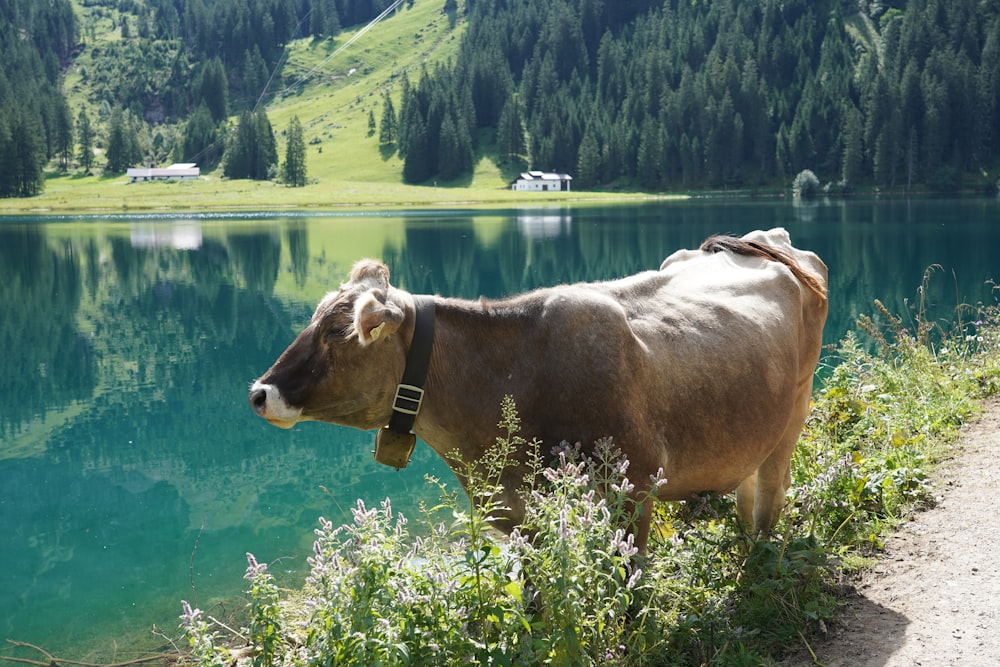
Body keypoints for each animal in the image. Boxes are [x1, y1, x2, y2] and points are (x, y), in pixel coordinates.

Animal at [246, 227, 824, 552]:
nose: (258, 393)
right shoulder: (515, 514)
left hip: (795, 410)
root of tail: (765, 240)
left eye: (335, 333)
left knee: (770, 498)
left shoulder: (634, 490)